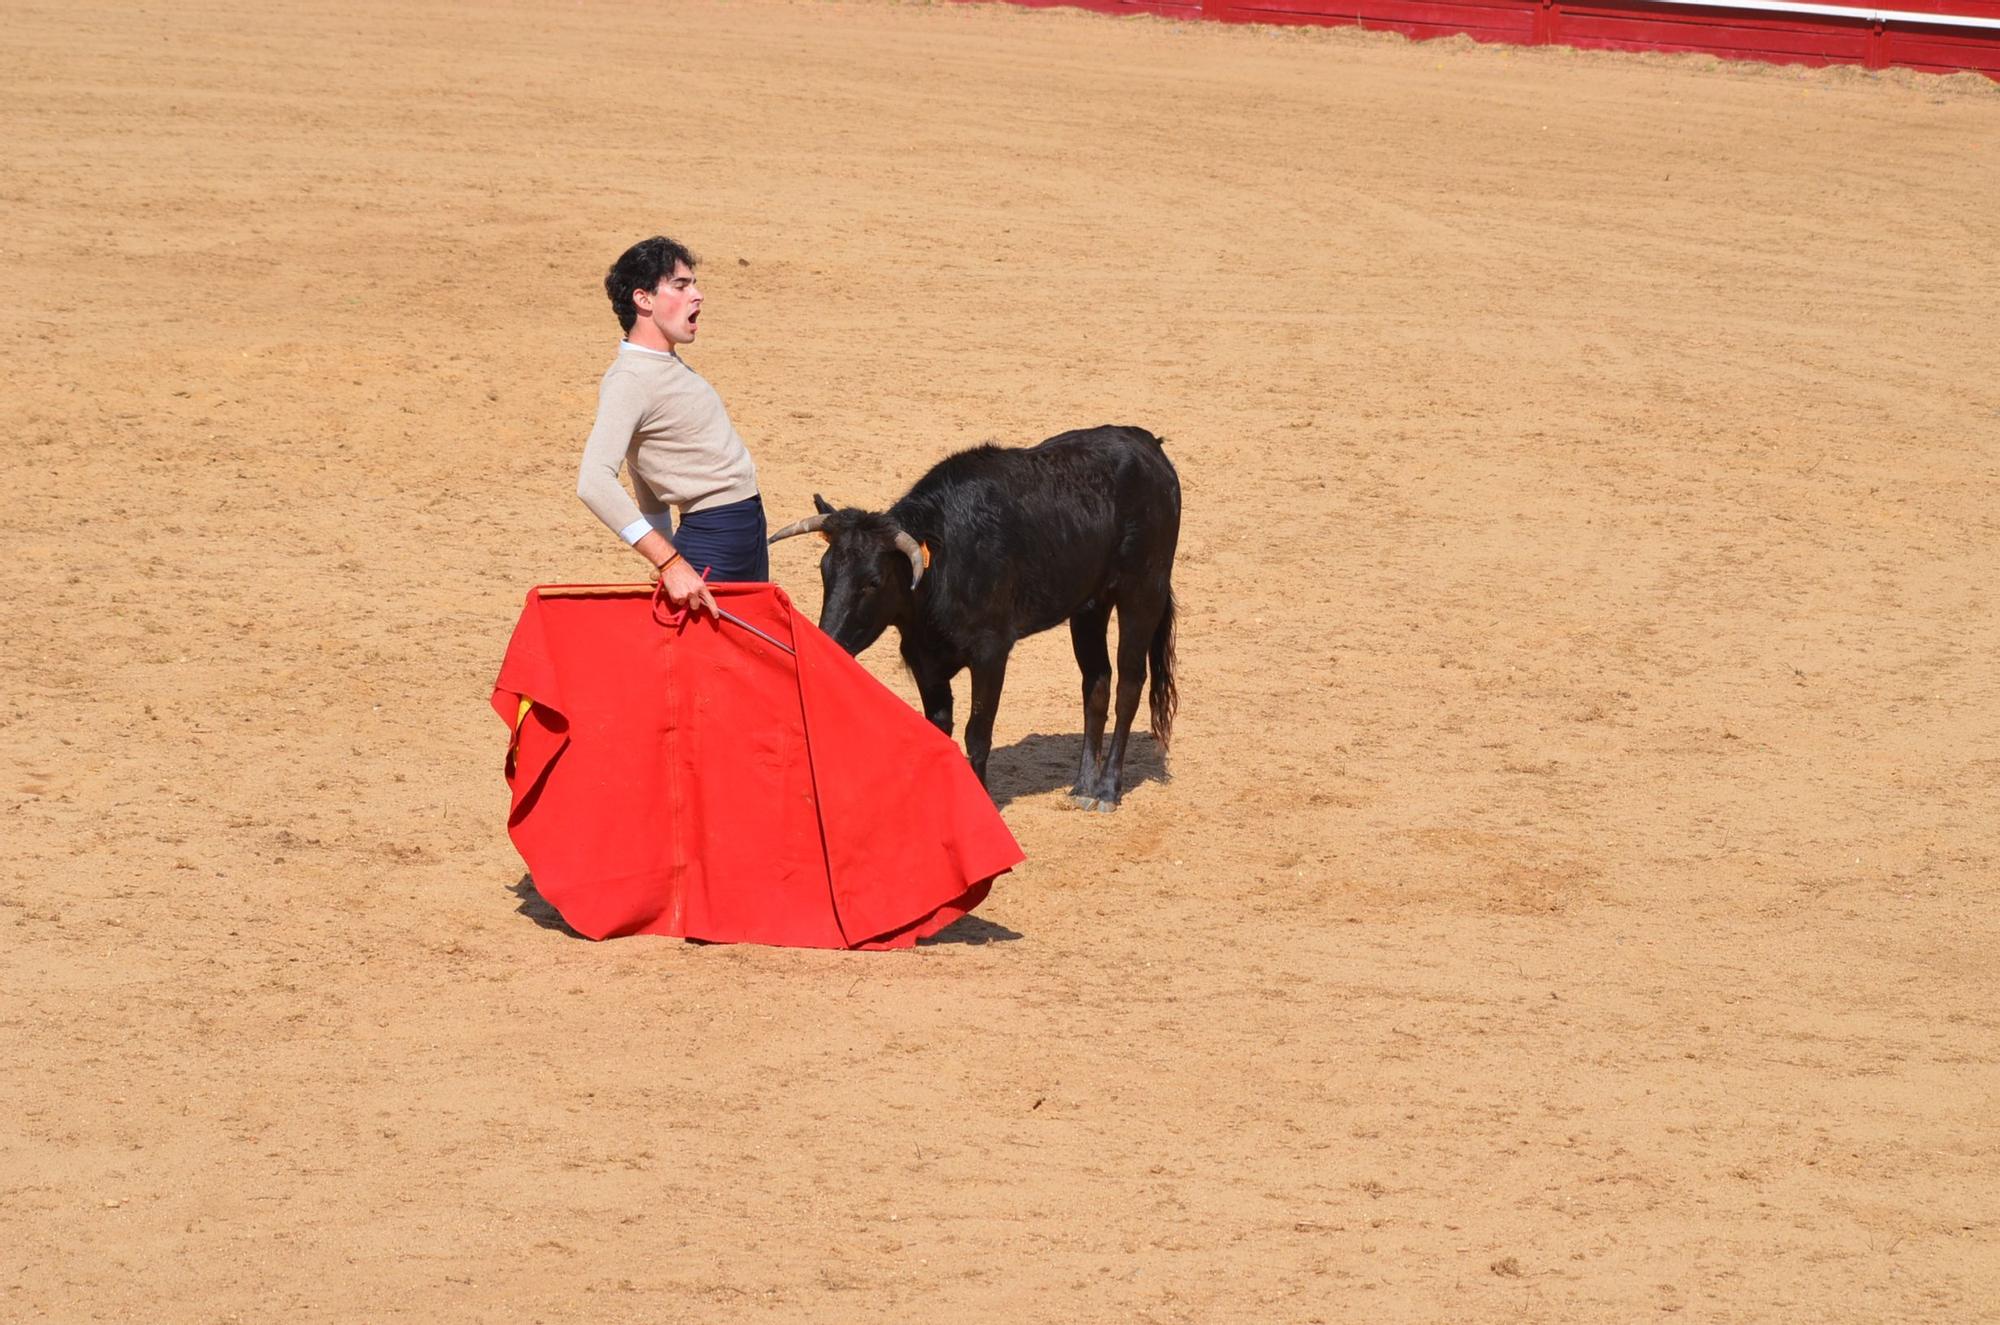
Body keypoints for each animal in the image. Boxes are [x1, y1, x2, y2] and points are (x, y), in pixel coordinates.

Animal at [768, 430, 1176, 816]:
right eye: (825, 570)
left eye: (873, 581)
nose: (827, 643)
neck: (944, 559)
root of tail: (1149, 446)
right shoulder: (924, 659)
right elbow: (938, 726)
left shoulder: (991, 654)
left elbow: (977, 732)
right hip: (1090, 606)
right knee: (1096, 682)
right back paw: (1084, 787)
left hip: (1143, 593)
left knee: (1129, 684)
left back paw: (1106, 791)